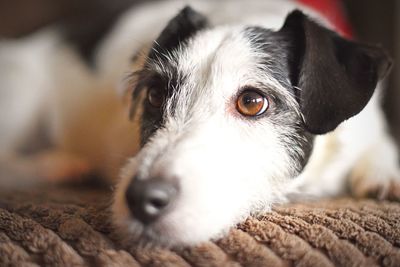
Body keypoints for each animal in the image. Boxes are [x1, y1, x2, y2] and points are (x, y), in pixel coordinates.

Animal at [0, 0, 398, 247]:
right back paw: (59, 166)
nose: (142, 199)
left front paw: (385, 173)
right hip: (20, 89)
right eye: (154, 95)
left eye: (252, 102)